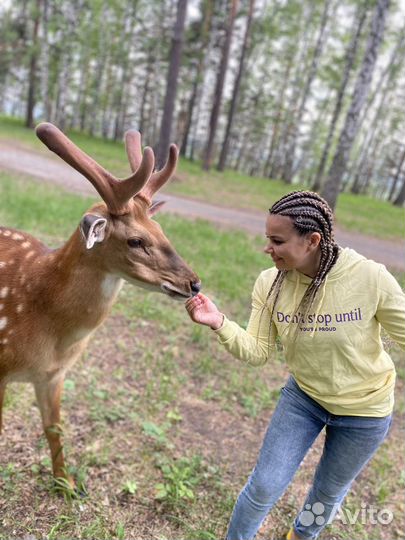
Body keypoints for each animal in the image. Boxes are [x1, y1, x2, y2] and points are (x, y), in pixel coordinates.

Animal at [0, 122, 200, 486]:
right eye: (135, 240)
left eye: (161, 229)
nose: (194, 283)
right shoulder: (0, 367)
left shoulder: (54, 375)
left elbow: (55, 429)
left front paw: (66, 484)